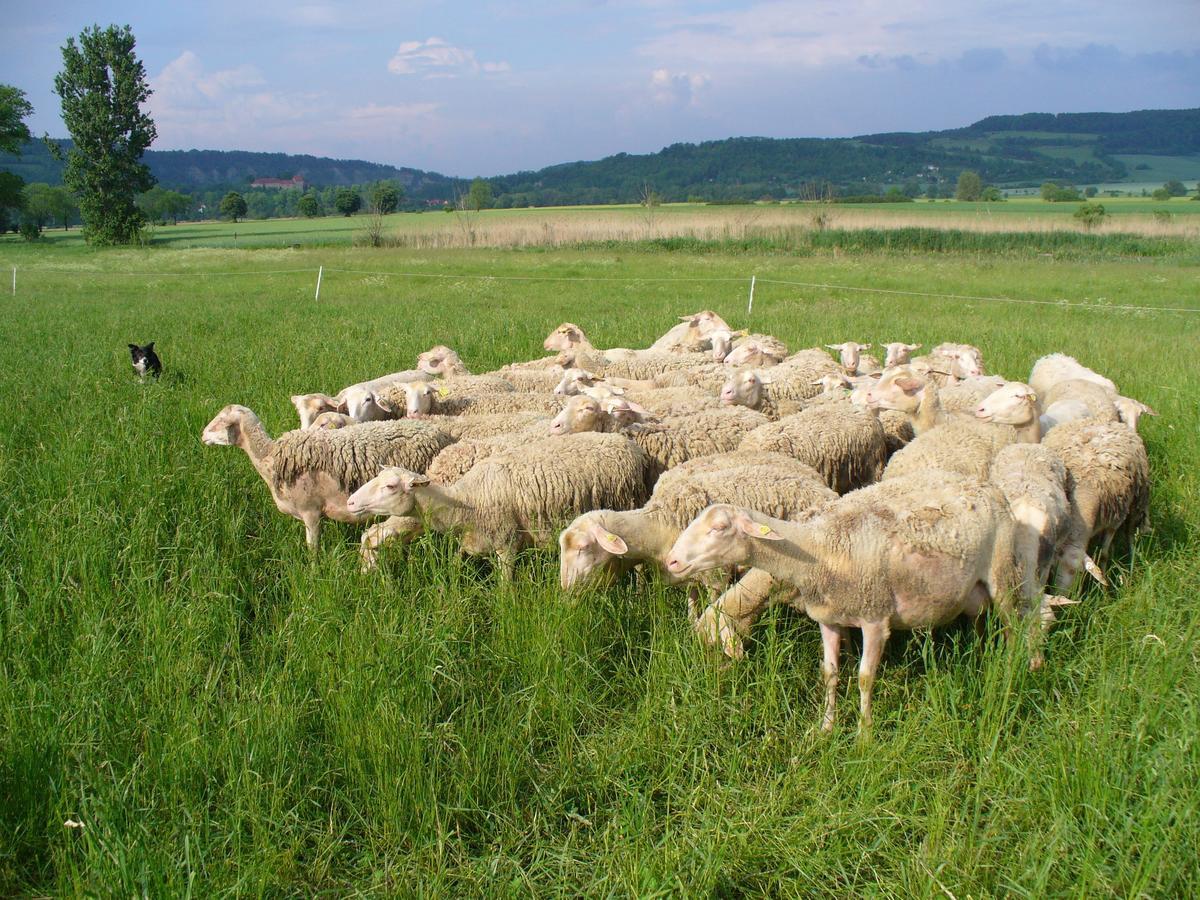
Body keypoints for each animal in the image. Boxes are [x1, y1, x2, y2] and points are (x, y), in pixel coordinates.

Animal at [202, 408, 453, 549]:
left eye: (220, 420)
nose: (202, 435)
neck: (270, 458)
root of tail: (440, 432)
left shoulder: (311, 512)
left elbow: (312, 549)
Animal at [662, 472, 1046, 734]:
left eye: (719, 528)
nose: (672, 561)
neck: (821, 548)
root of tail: (989, 487)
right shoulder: (829, 619)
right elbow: (830, 673)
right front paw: (827, 727)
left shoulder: (875, 620)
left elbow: (864, 678)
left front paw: (864, 734)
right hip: (973, 590)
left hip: (1003, 573)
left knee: (1015, 627)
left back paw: (1013, 673)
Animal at [1046, 422, 1147, 592]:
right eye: (1053, 568)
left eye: (1079, 573)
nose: (1063, 596)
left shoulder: (1114, 522)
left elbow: (1104, 554)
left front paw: (1104, 592)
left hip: (1137, 501)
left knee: (1130, 534)